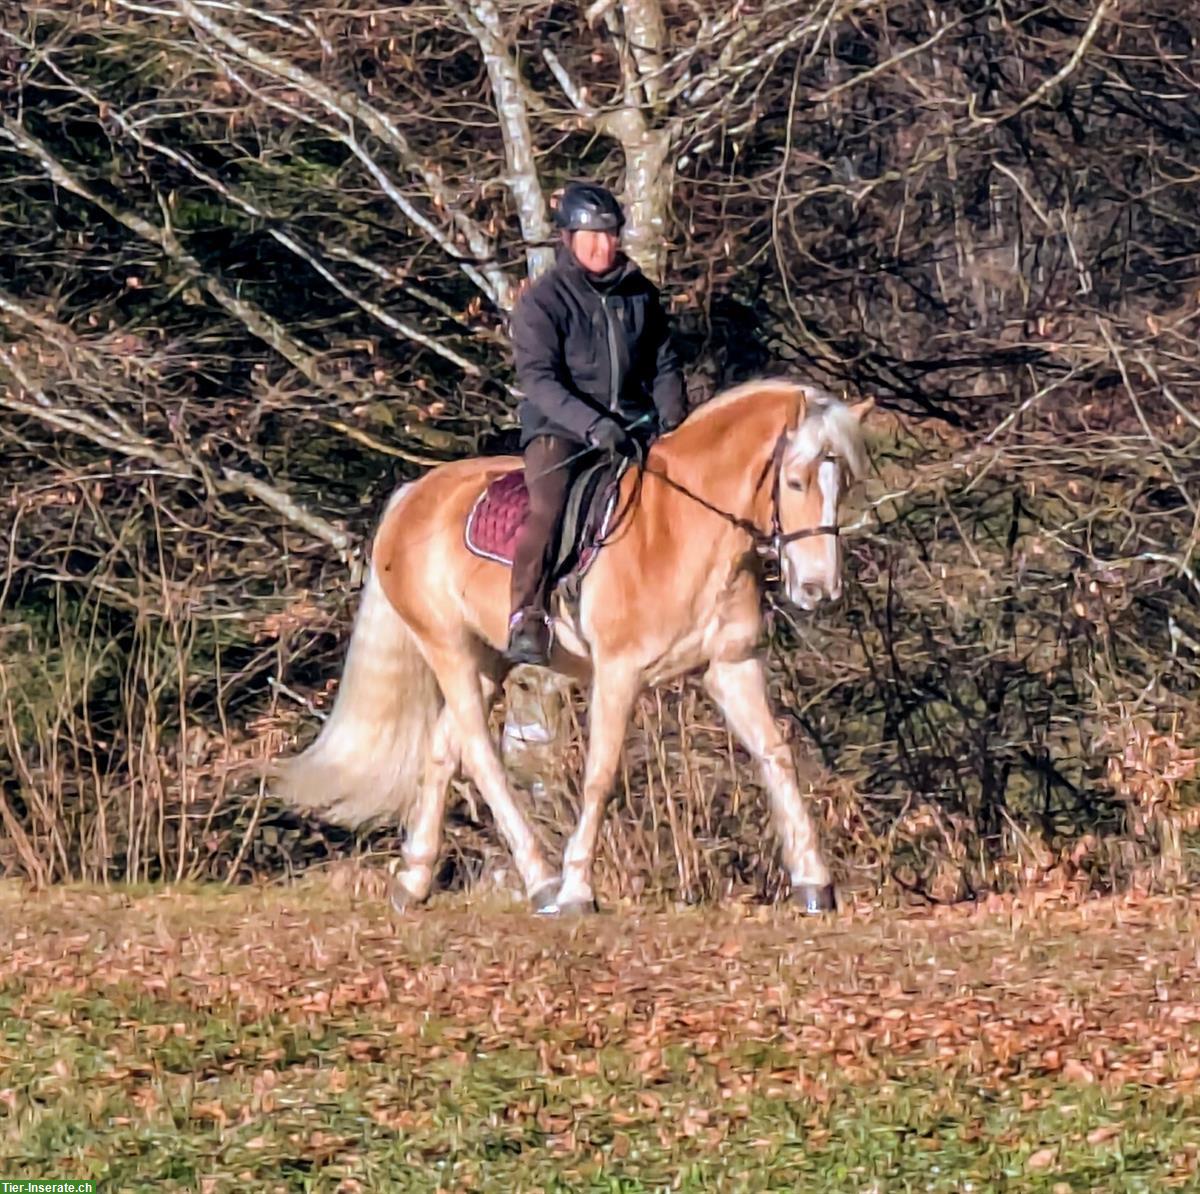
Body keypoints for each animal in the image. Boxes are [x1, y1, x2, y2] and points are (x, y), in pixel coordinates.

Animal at [272, 384, 873, 916]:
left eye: (842, 483)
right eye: (794, 481)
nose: (819, 589)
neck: (686, 531)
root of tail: (412, 496)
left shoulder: (731, 667)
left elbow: (776, 756)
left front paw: (814, 883)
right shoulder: (618, 673)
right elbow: (600, 776)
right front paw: (578, 888)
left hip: (489, 659)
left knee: (443, 752)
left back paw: (414, 880)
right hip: (448, 649)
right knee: (481, 757)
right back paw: (541, 881)